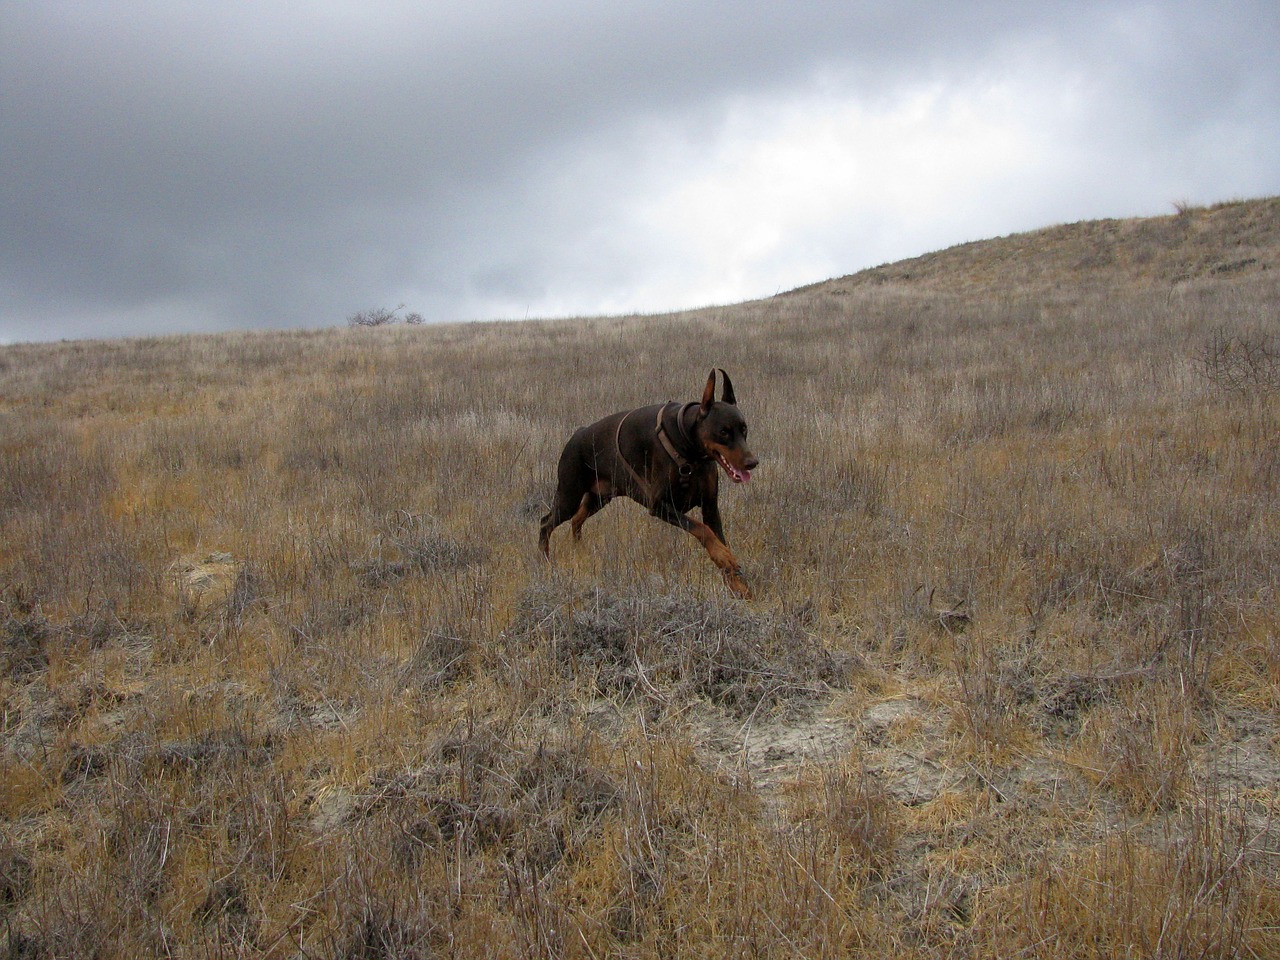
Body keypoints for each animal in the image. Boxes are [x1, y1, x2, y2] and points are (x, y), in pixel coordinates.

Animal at [540, 371, 757, 599]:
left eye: (744, 429)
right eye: (723, 432)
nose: (752, 462)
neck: (687, 445)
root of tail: (576, 436)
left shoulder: (710, 506)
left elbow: (716, 536)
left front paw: (739, 586)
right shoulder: (659, 505)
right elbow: (702, 529)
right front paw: (725, 557)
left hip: (598, 497)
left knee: (576, 520)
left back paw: (578, 549)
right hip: (569, 495)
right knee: (546, 523)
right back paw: (545, 562)